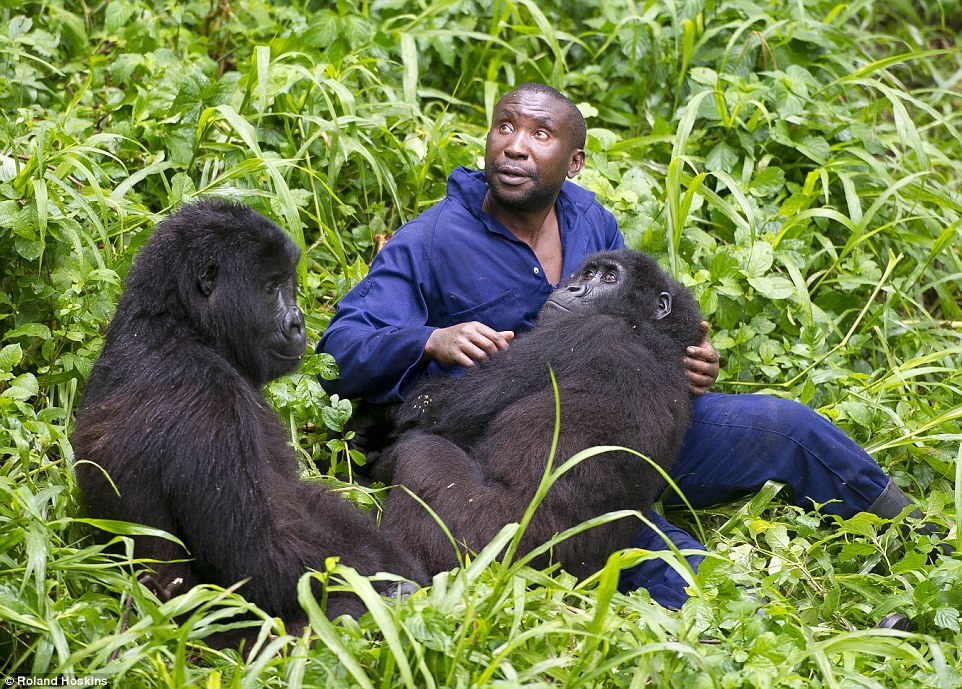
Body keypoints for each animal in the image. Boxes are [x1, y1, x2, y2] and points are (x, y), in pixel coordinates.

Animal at [71, 198, 424, 624]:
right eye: (271, 287)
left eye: (287, 283)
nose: (298, 322)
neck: (182, 323)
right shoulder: (210, 398)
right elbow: (260, 558)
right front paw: (392, 583)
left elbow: (305, 499)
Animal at [380, 250, 704, 576]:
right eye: (588, 273)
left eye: (610, 278)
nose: (573, 287)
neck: (646, 326)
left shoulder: (580, 332)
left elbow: (429, 412)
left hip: (480, 553)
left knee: (420, 451)